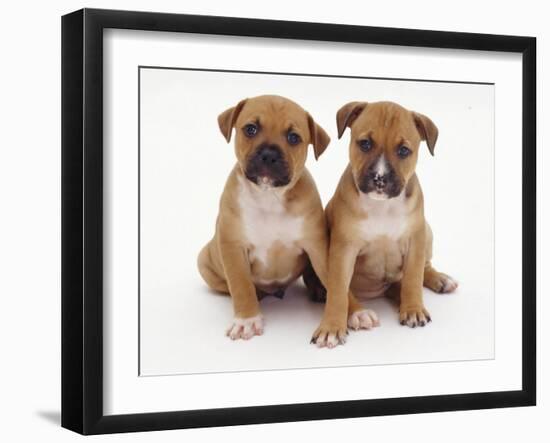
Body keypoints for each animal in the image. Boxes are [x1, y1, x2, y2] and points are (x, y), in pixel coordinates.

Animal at [201, 95, 334, 342]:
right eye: (250, 129)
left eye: (293, 138)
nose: (269, 154)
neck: (269, 196)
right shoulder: (233, 247)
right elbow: (241, 285)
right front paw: (246, 320)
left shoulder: (317, 247)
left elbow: (335, 279)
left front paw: (355, 312)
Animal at [312, 102, 460, 348]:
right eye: (365, 144)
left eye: (403, 151)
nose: (380, 179)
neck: (382, 206)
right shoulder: (344, 249)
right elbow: (339, 291)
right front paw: (331, 327)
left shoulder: (415, 239)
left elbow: (413, 278)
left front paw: (413, 309)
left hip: (426, 231)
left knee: (421, 269)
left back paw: (440, 279)